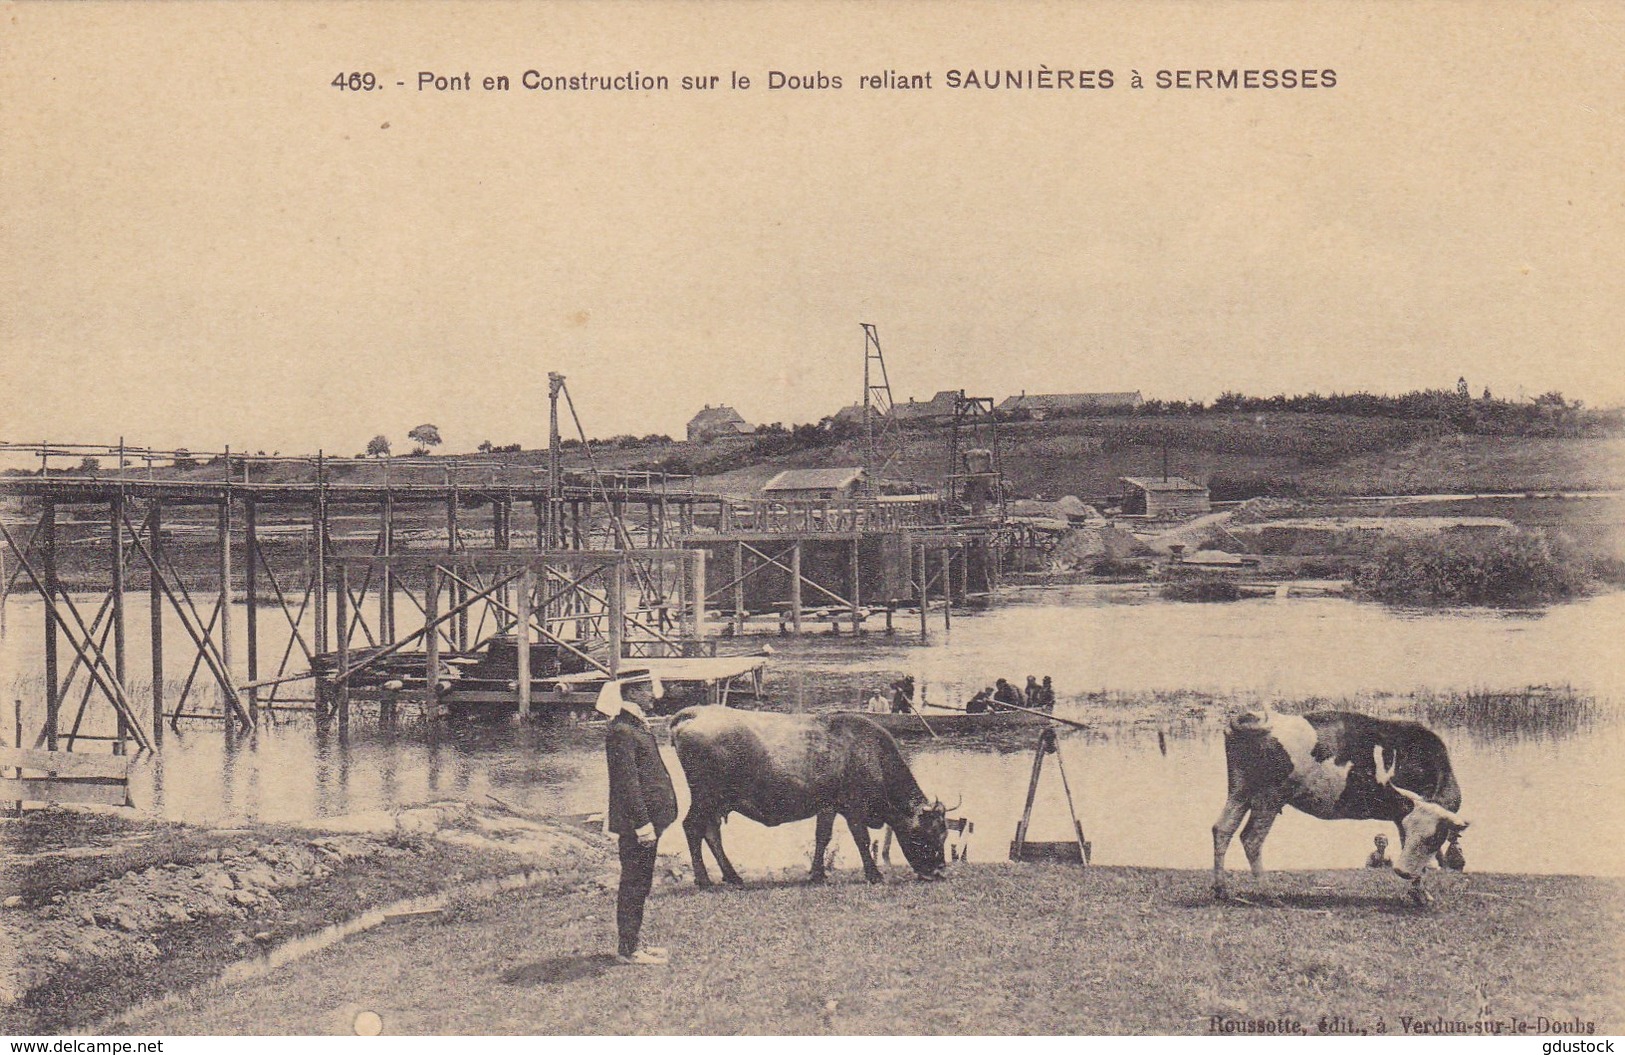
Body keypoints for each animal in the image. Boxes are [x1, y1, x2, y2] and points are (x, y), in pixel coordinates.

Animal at [1215, 702, 1469, 903]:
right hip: (1269, 796)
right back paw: (1268, 894)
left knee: (1222, 829)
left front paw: (1418, 894)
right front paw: (1421, 895)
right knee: (1251, 839)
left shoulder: (1403, 816)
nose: (1401, 871)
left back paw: (1221, 891)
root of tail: (1253, 717)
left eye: (1434, 837)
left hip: (1239, 791)